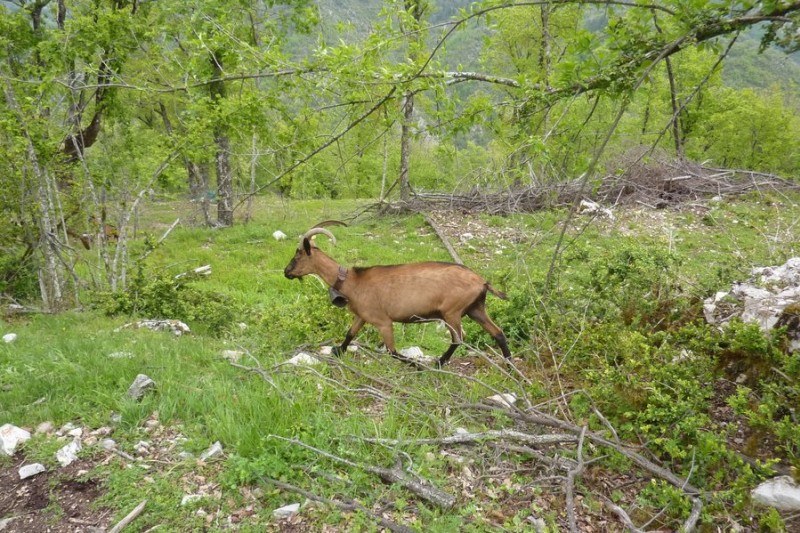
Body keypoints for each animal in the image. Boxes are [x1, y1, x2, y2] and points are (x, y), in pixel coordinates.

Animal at [283, 224, 512, 367]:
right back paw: (509, 366)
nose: (286, 272)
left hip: (452, 312)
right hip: (475, 309)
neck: (352, 281)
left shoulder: (383, 321)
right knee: (498, 332)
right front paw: (338, 351)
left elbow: (392, 351)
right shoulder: (363, 316)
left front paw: (417, 366)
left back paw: (439, 363)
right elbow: (350, 333)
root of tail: (482, 281)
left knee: (459, 338)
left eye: (297, 255)